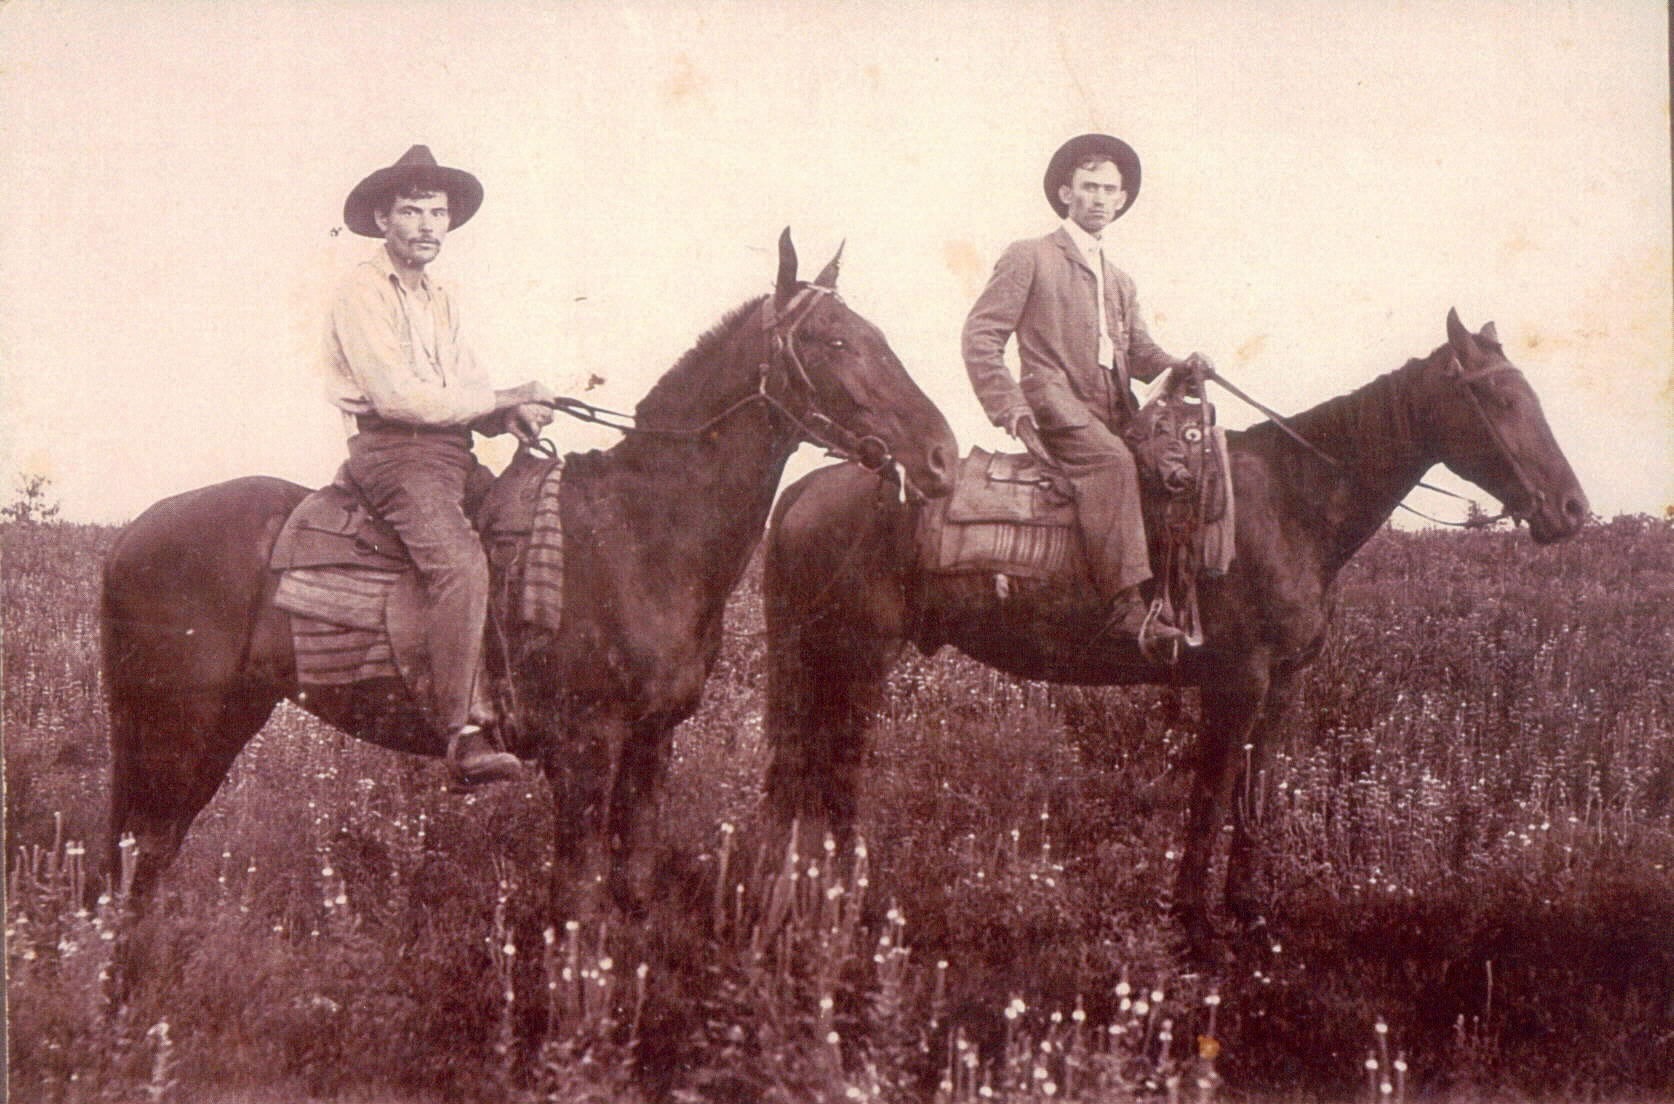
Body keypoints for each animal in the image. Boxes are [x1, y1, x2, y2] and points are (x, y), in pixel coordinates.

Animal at [104, 231, 957, 918]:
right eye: (834, 341)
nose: (942, 457)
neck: (641, 532)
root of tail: (129, 536)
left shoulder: (651, 744)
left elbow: (629, 895)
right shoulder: (584, 750)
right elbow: (575, 906)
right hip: (179, 732)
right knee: (140, 863)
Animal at [766, 308, 1586, 951]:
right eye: (1500, 397)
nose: (1572, 509)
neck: (1289, 503)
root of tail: (803, 489)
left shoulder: (1283, 686)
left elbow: (1256, 794)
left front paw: (1249, 912)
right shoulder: (1235, 681)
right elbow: (1211, 795)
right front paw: (1194, 924)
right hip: (854, 659)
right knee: (833, 775)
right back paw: (847, 909)